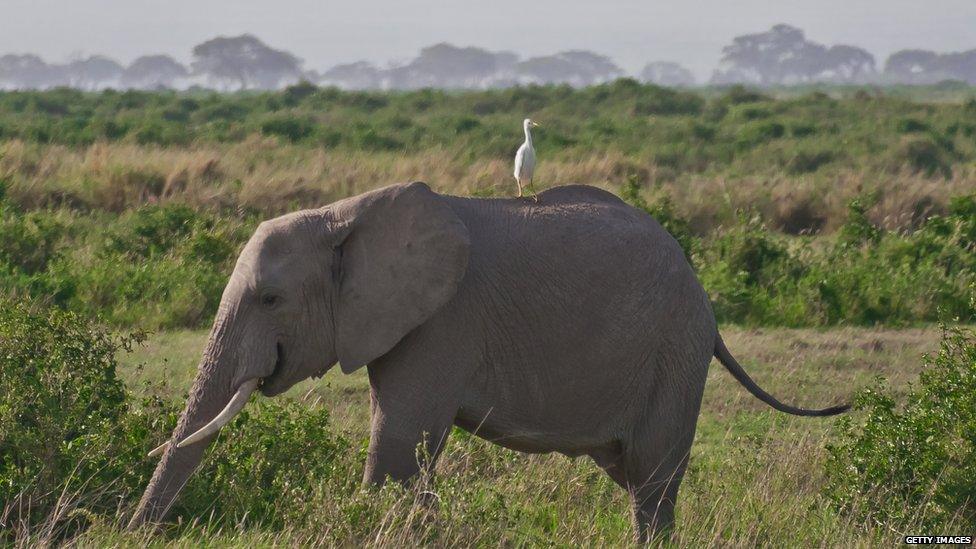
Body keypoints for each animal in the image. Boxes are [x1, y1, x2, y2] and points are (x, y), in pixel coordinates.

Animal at [130, 183, 848, 540]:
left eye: (271, 298)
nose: (133, 532)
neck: (341, 215)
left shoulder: (443, 320)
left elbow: (397, 445)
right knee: (637, 477)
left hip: (677, 348)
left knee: (652, 479)